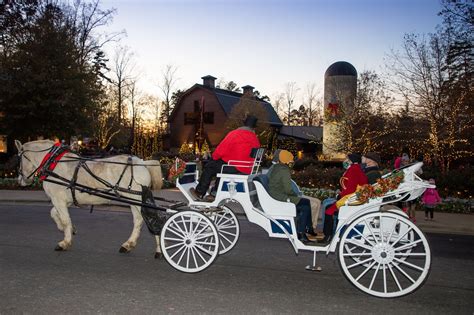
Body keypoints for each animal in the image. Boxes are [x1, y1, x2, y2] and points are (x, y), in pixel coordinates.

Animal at [16, 139, 165, 258]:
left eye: (19, 159)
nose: (20, 180)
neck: (54, 162)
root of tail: (143, 163)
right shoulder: (65, 200)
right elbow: (54, 214)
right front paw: (70, 229)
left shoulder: (58, 199)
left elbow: (64, 219)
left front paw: (65, 242)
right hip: (135, 200)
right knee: (142, 220)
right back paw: (132, 245)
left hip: (137, 199)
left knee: (148, 219)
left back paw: (155, 249)